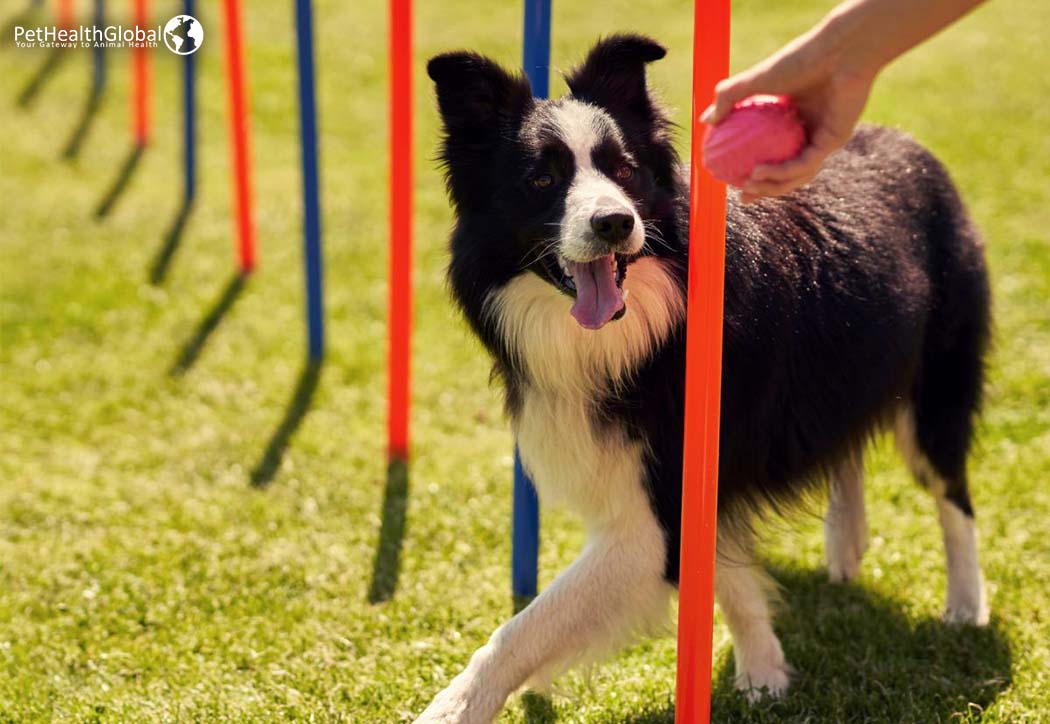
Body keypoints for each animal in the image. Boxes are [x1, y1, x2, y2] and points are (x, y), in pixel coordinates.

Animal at [415, 33, 982, 721]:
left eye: (625, 171)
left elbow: (522, 630)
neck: (642, 331)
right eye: (541, 179)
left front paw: (451, 707)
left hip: (938, 383)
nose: (614, 222)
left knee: (953, 494)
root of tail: (905, 142)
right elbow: (727, 575)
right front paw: (764, 671)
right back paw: (846, 546)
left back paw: (966, 607)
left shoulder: (657, 510)